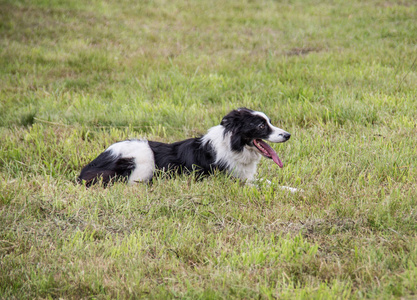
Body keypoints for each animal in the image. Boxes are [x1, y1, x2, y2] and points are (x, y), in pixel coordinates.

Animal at [79, 107, 292, 188]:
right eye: (261, 126)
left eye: (269, 122)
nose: (288, 135)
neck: (234, 145)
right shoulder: (231, 181)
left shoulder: (245, 176)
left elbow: (270, 182)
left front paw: (294, 189)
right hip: (144, 155)